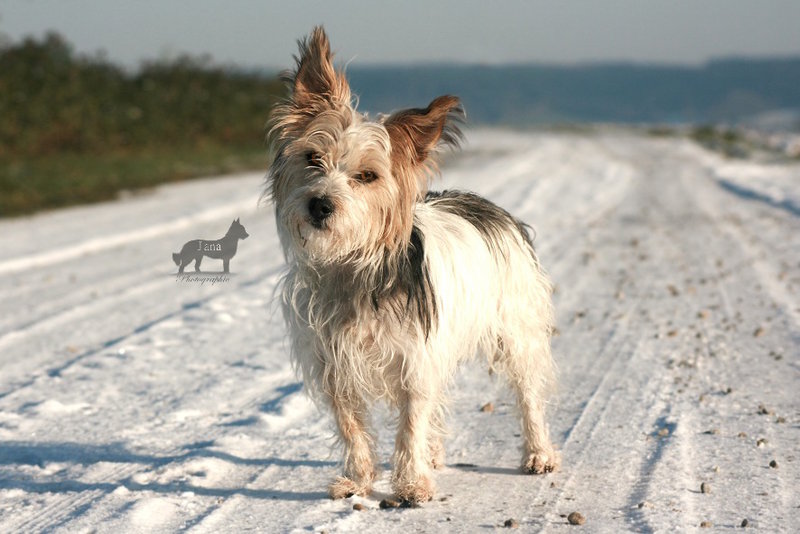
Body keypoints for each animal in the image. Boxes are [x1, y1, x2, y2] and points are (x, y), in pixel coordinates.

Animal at [268, 27, 556, 506]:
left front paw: (410, 484)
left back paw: (539, 453)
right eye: (312, 158)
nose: (320, 205)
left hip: (516, 329)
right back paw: (434, 455)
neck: (351, 266)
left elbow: (410, 423)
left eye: (367, 176)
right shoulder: (334, 366)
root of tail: (486, 205)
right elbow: (352, 427)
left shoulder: (416, 359)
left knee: (528, 392)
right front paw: (358, 480)